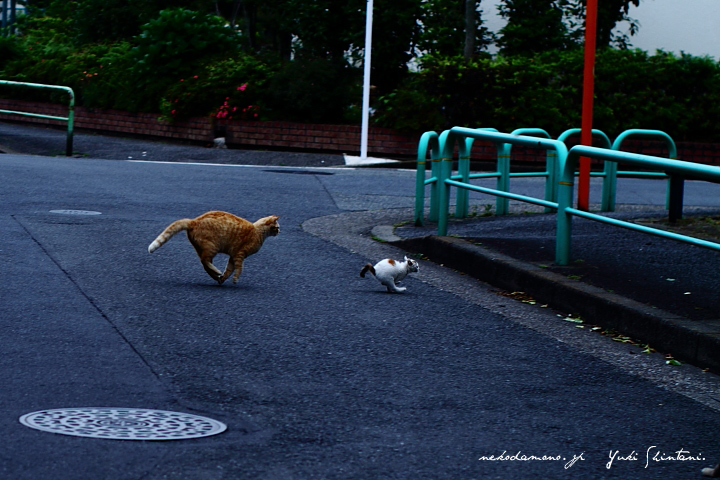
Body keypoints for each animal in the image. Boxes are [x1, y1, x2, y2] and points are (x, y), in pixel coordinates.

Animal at [148, 211, 279, 284]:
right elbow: (239, 269)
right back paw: (217, 272)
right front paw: (235, 279)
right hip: (212, 247)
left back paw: (216, 275)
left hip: (202, 248)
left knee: (205, 264)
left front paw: (224, 278)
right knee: (205, 261)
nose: (280, 231)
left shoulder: (233, 256)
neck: (258, 231)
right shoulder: (239, 254)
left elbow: (229, 269)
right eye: (277, 227)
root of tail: (194, 221)